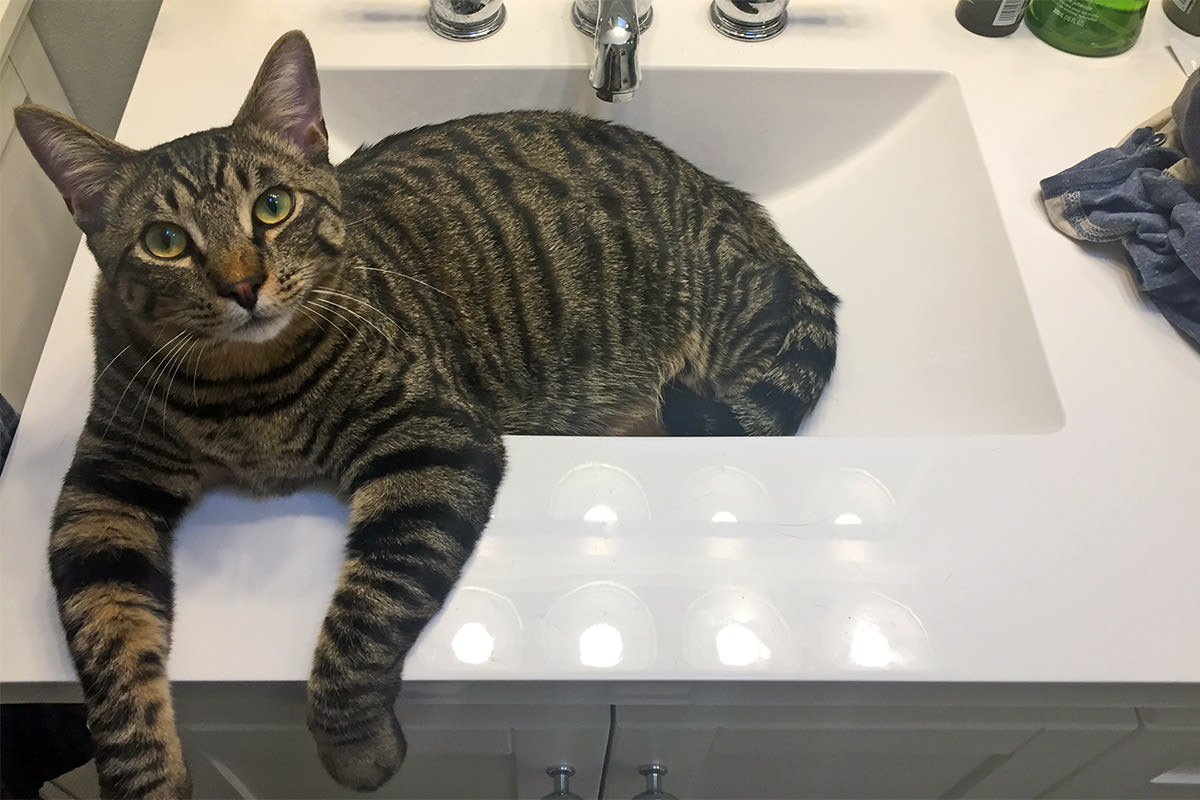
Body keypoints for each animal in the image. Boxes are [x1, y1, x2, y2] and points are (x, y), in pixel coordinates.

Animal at [11, 29, 835, 796]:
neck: (246, 394)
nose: (243, 285)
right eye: (165, 242)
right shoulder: (102, 491)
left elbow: (367, 611)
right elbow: (108, 647)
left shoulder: (434, 433)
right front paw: (144, 777)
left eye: (273, 207)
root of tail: (740, 205)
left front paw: (354, 747)